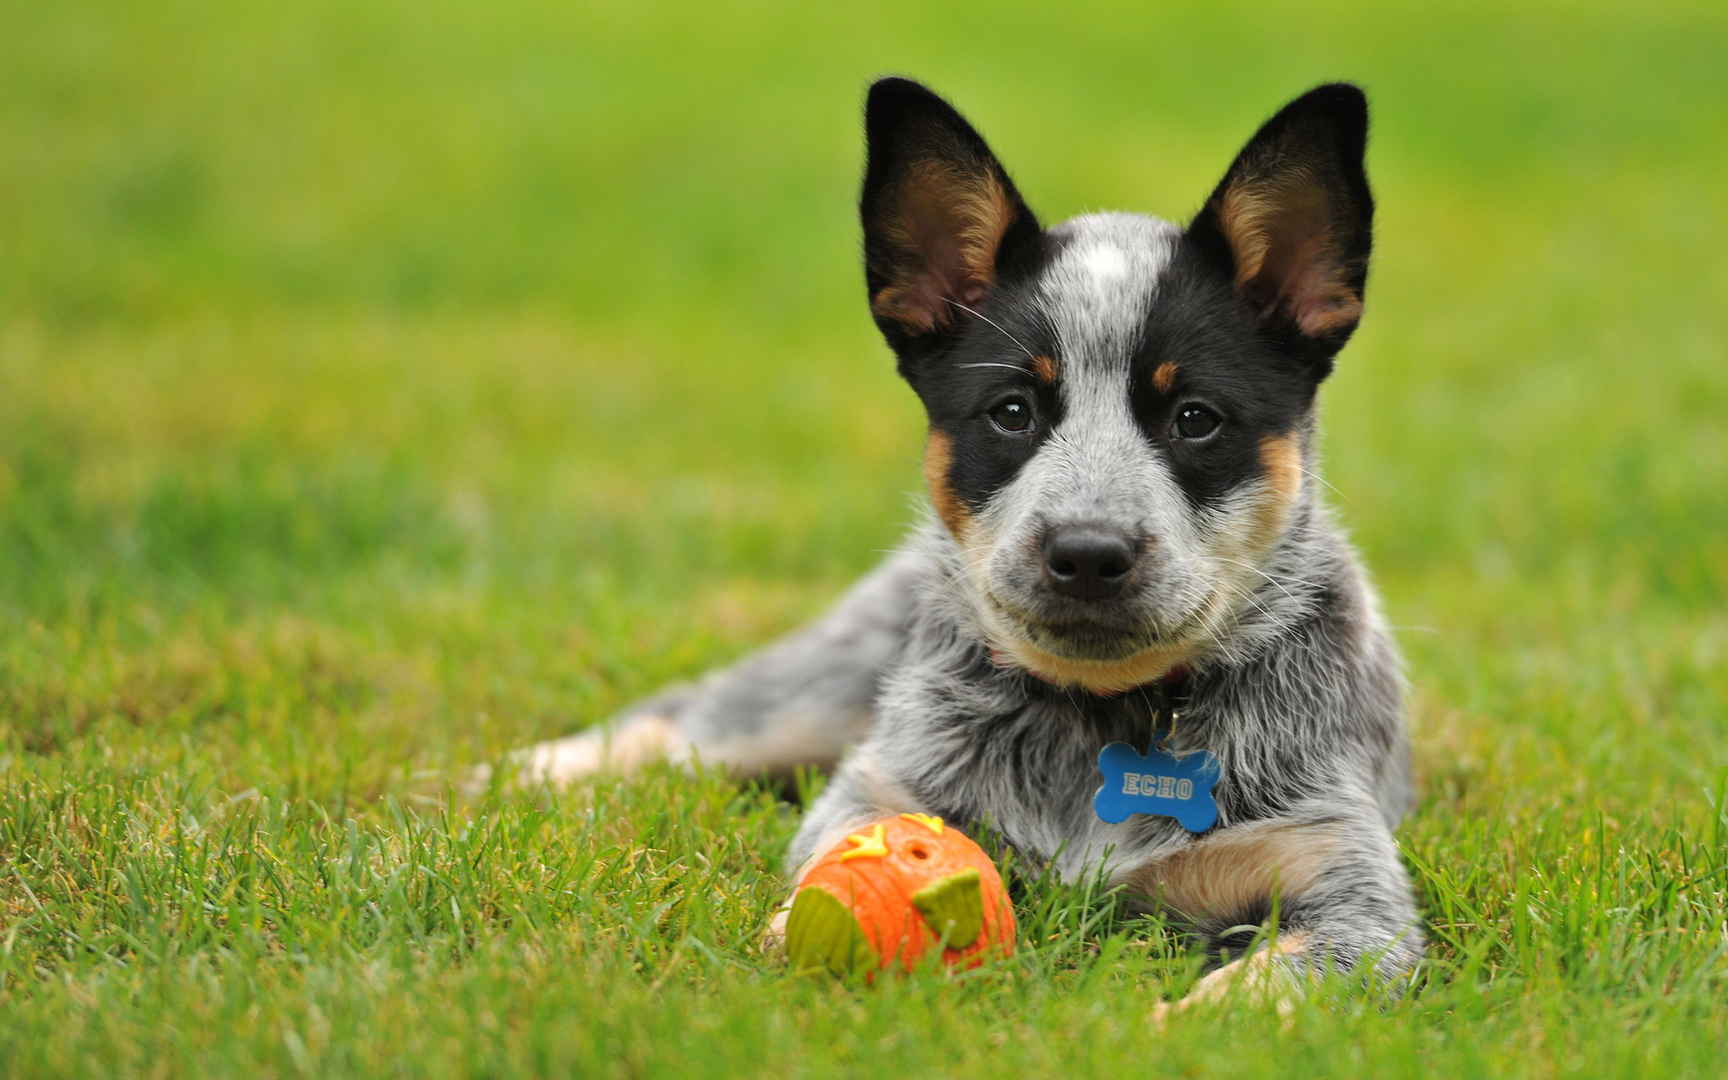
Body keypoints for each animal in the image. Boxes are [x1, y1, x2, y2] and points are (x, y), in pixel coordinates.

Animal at [504, 79, 1423, 1009]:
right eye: (1012, 410)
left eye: (1195, 418)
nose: (1087, 552)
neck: (1100, 722)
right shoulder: (880, 786)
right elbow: (825, 868)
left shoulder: (1347, 887)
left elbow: (1271, 986)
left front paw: (1176, 1022)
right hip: (822, 688)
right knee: (687, 719)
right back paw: (532, 771)